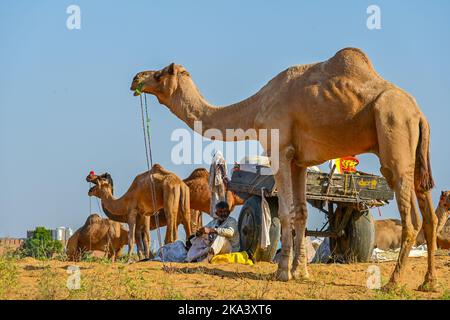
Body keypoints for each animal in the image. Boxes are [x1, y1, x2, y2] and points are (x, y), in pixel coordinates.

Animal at [132, 47, 438, 290]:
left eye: (160, 74)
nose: (137, 78)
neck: (256, 108)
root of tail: (419, 114)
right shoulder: (299, 161)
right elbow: (301, 212)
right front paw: (301, 272)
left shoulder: (279, 150)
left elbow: (287, 212)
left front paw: (282, 272)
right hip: (415, 151)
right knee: (429, 215)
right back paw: (428, 283)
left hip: (394, 133)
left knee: (411, 217)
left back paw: (393, 283)